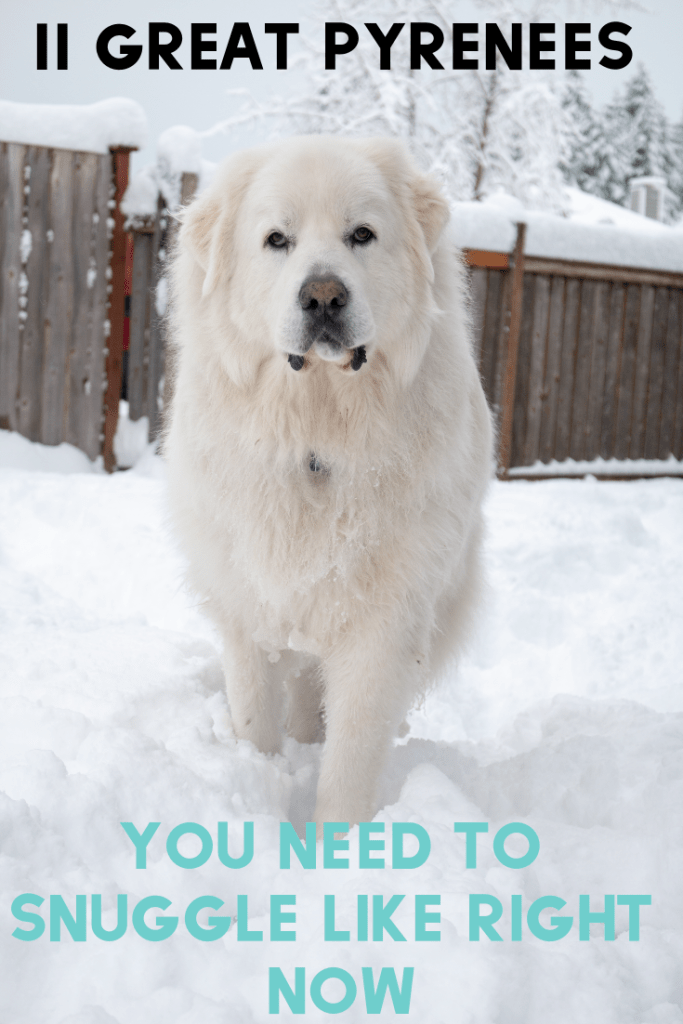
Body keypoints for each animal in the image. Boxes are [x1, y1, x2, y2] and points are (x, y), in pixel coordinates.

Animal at [166, 136, 497, 831]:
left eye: (361, 234)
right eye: (277, 240)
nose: (322, 296)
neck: (319, 432)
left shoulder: (383, 627)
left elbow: (351, 756)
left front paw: (336, 843)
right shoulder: (250, 607)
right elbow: (254, 719)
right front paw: (259, 788)